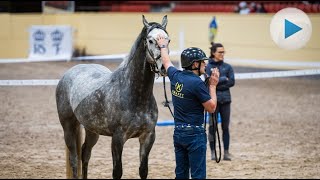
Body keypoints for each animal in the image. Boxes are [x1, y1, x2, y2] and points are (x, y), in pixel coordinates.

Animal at [55, 15, 170, 179]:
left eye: (168, 40)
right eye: (150, 40)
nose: (164, 67)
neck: (136, 96)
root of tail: (71, 72)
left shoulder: (148, 137)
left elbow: (143, 170)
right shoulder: (117, 139)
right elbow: (117, 171)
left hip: (92, 130)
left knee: (85, 153)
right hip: (68, 127)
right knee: (74, 159)